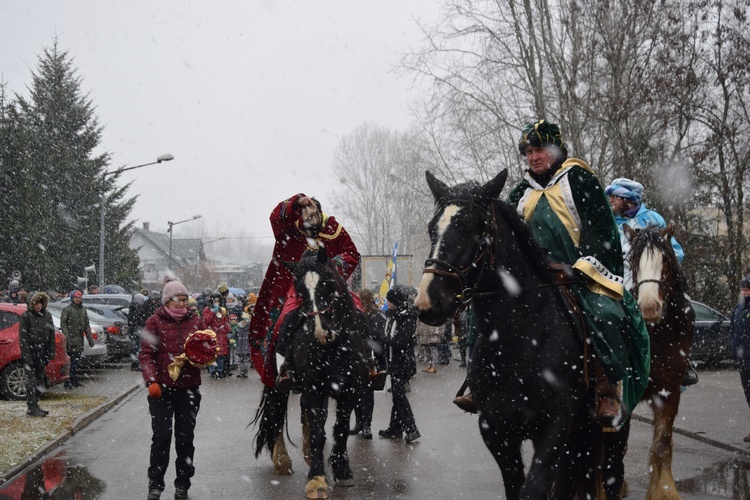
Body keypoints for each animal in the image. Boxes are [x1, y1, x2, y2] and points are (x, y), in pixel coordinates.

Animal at [253, 247, 370, 500]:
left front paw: (342, 470)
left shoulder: (349, 390)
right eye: (298, 289)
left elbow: (340, 430)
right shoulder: (315, 389)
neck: (334, 348)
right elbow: (318, 430)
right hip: (277, 385)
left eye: (328, 283)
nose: (321, 331)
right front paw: (317, 479)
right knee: (275, 415)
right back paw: (282, 460)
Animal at [414, 170, 608, 498]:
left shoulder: (556, 426)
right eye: (432, 230)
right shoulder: (496, 429)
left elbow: (534, 488)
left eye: (471, 229)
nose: (428, 302)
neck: (520, 341)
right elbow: (514, 485)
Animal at [608, 227, 696, 500]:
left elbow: (662, 443)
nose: (648, 308)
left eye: (665, 260)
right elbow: (619, 442)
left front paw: (664, 490)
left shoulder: (670, 391)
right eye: (634, 260)